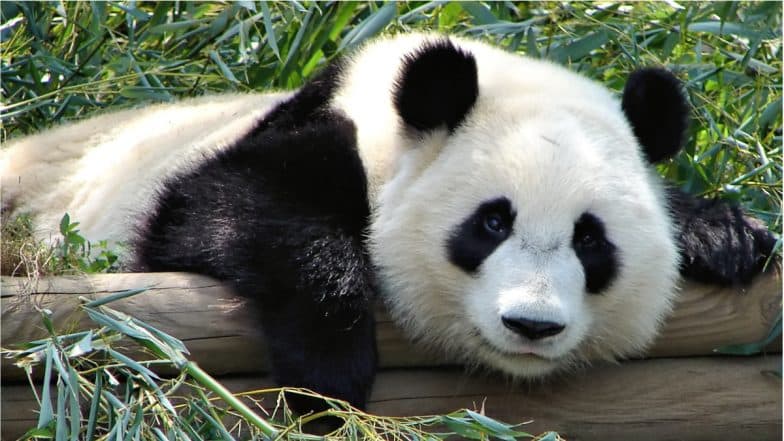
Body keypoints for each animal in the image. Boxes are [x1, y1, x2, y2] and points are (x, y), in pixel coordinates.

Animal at [0, 33, 776, 410]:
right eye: (491, 224)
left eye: (591, 240)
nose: (532, 325)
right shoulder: (302, 136)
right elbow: (218, 211)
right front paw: (330, 371)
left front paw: (725, 235)